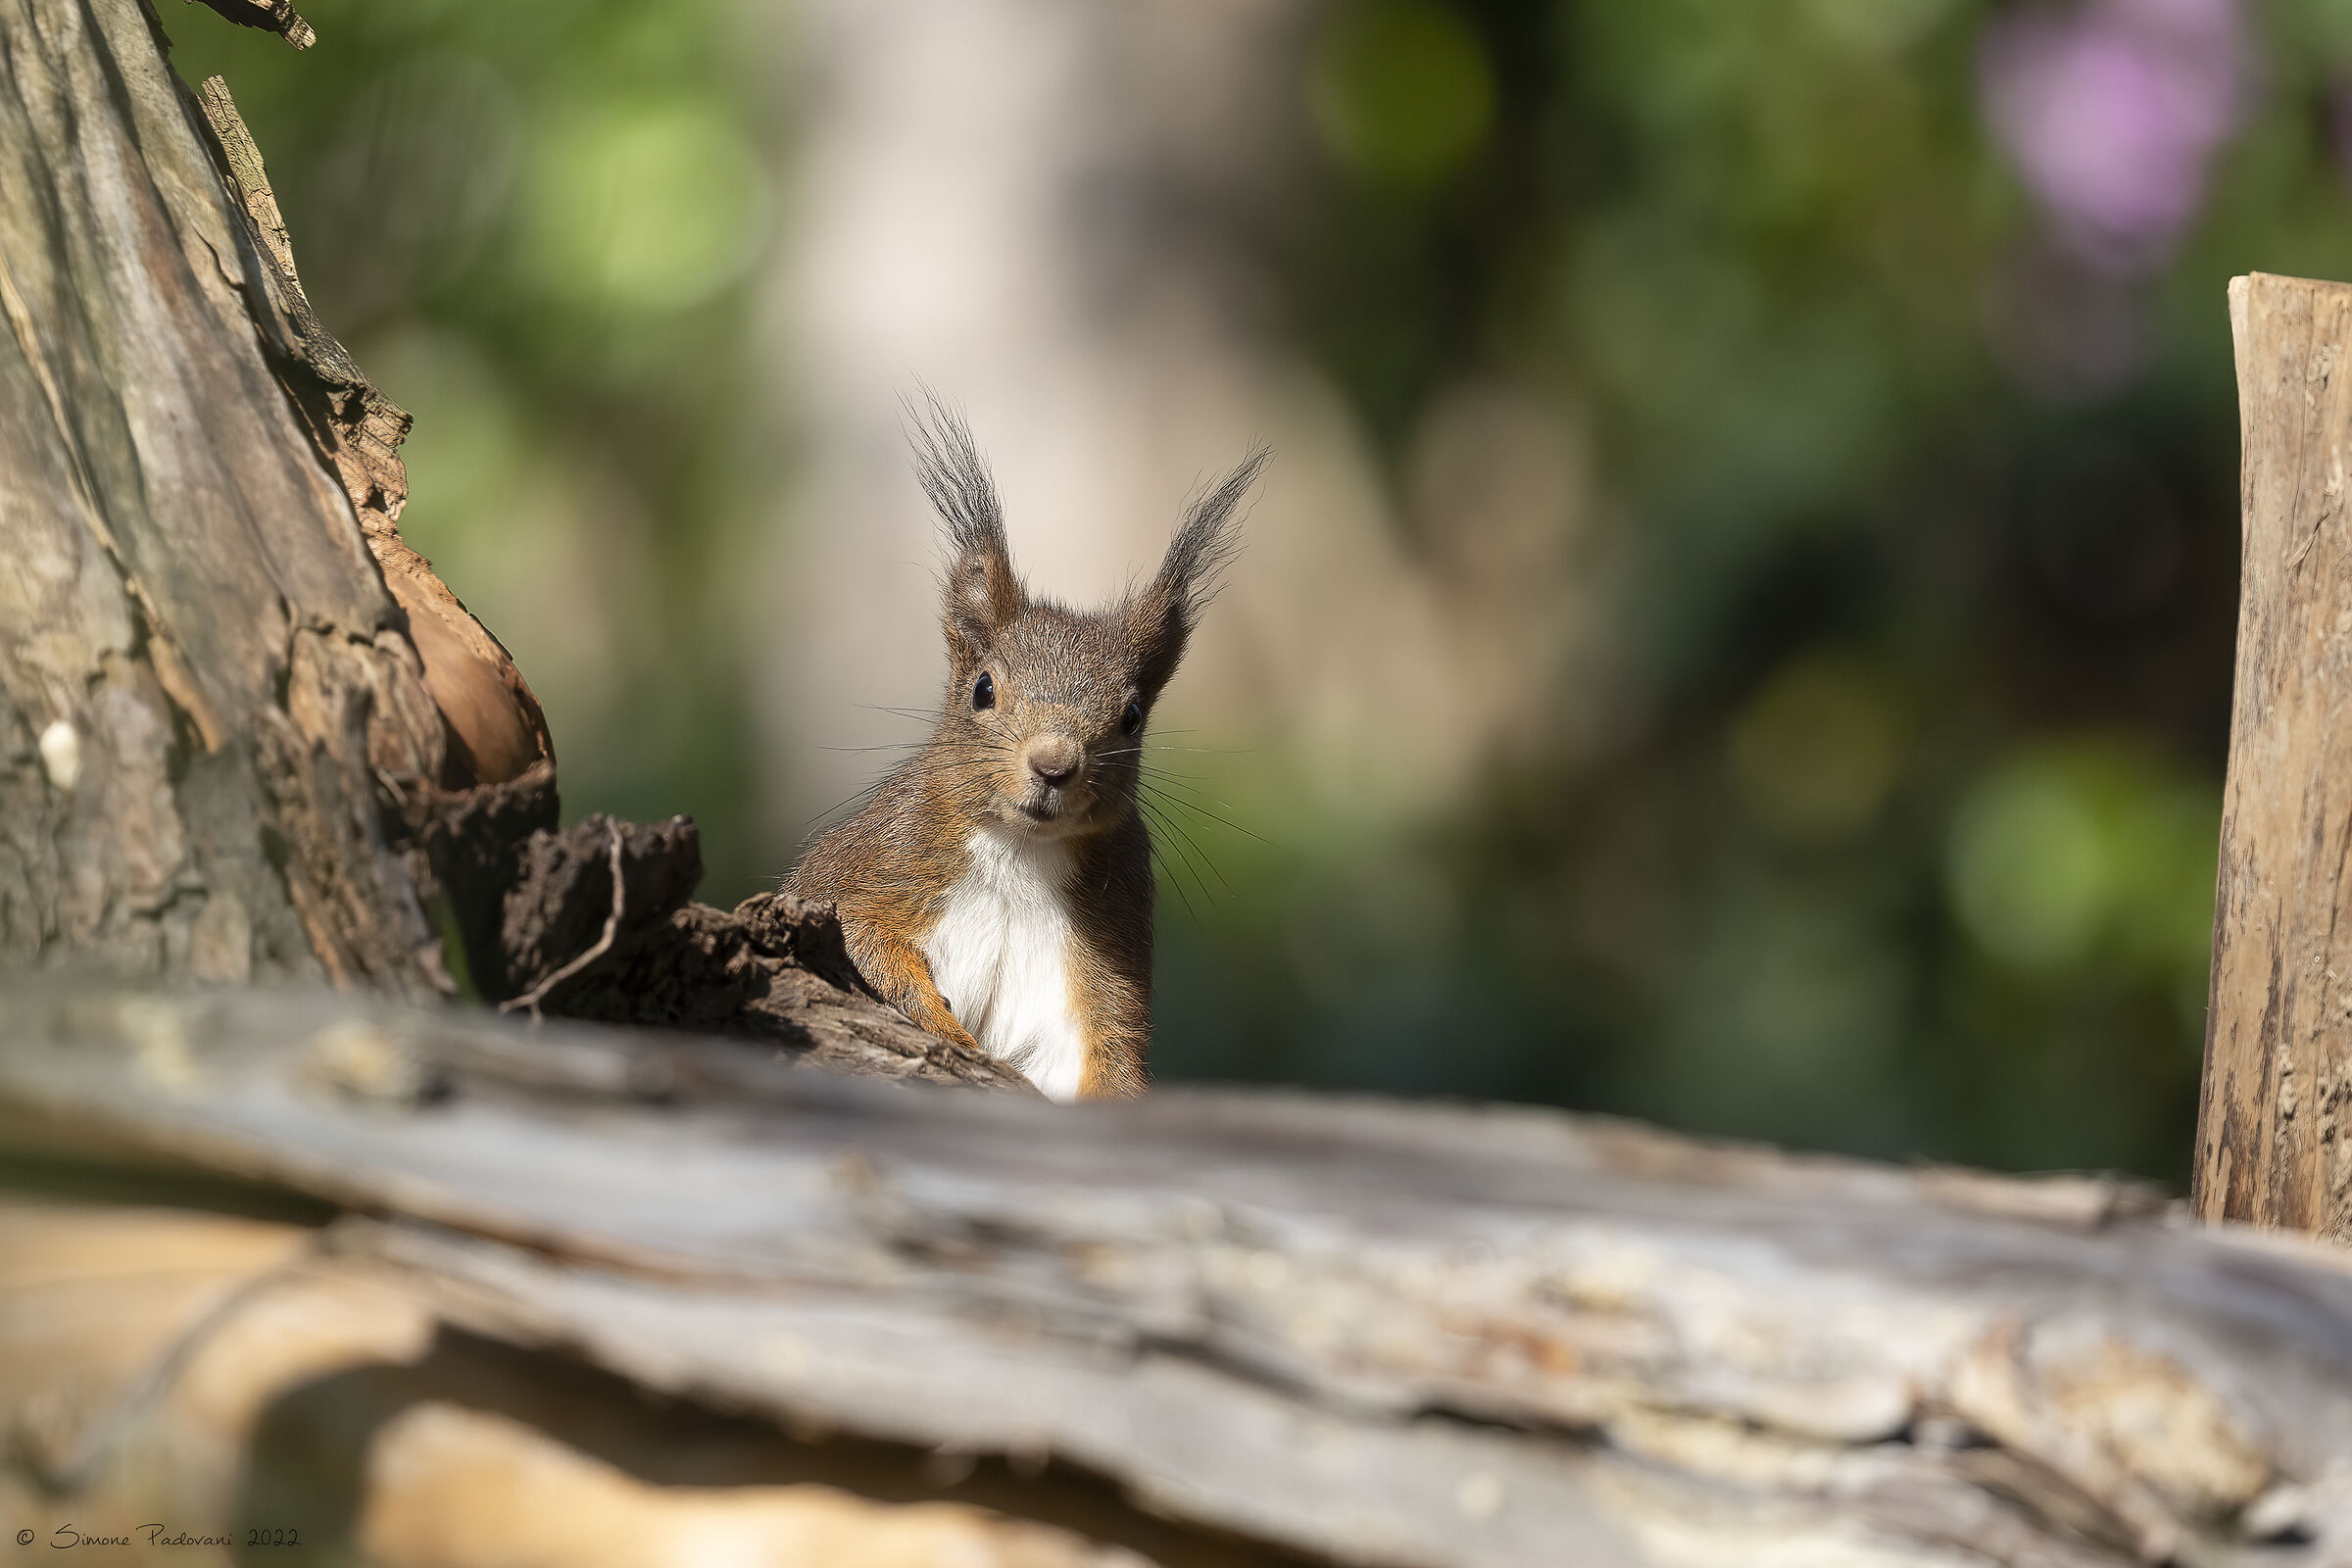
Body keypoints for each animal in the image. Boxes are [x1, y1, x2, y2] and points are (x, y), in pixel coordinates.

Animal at [786, 407, 1263, 1101]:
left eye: (1133, 716)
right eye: (983, 689)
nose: (1054, 764)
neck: (1019, 852)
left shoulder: (1107, 936)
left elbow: (1105, 1051)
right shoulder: (875, 865)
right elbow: (866, 941)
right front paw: (948, 1037)